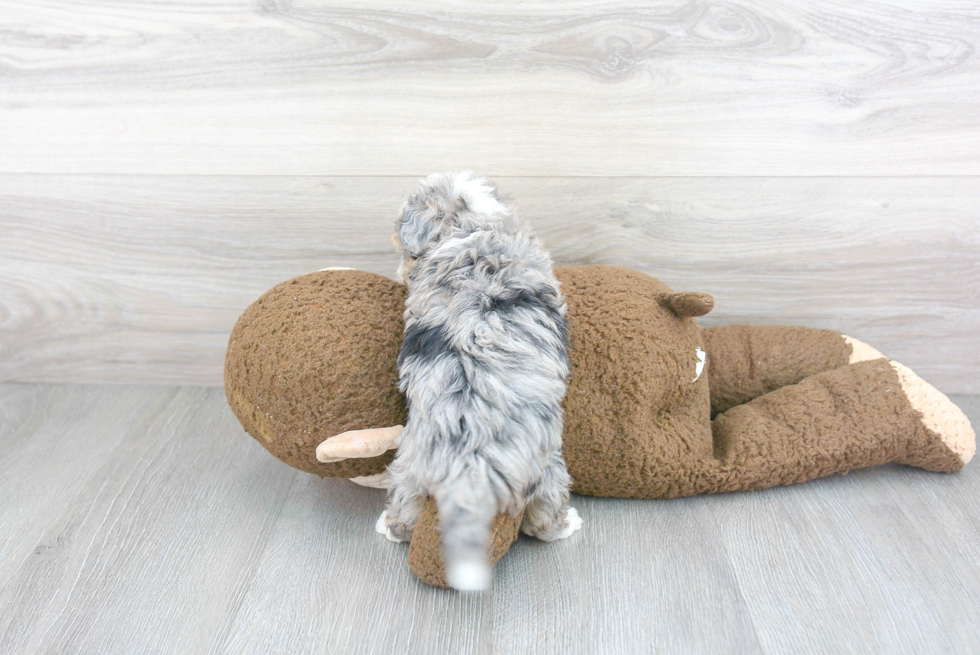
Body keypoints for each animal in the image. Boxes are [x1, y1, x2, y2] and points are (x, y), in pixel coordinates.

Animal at [380, 172, 580, 592]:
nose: (400, 269)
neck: (471, 222)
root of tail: (471, 463)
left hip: (413, 464)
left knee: (406, 507)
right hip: (547, 466)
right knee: (544, 516)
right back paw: (567, 524)